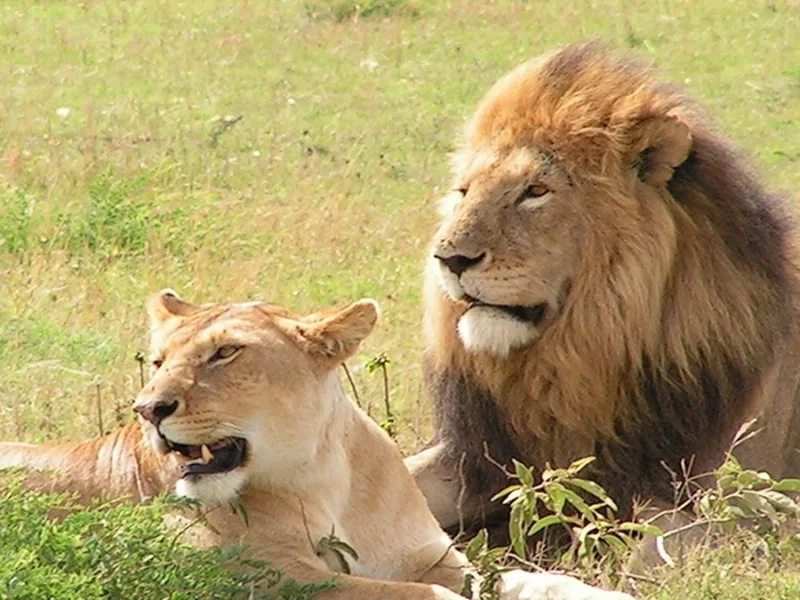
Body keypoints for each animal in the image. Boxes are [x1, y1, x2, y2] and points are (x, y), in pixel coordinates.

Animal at [1, 290, 631, 600]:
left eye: (224, 353)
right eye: (158, 363)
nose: (148, 409)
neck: (322, 477)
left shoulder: (431, 556)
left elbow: (533, 580)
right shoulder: (267, 578)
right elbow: (424, 596)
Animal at [405, 42, 800, 551]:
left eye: (535, 191)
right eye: (465, 191)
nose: (448, 259)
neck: (580, 357)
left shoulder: (750, 505)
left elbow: (651, 539)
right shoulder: (482, 458)